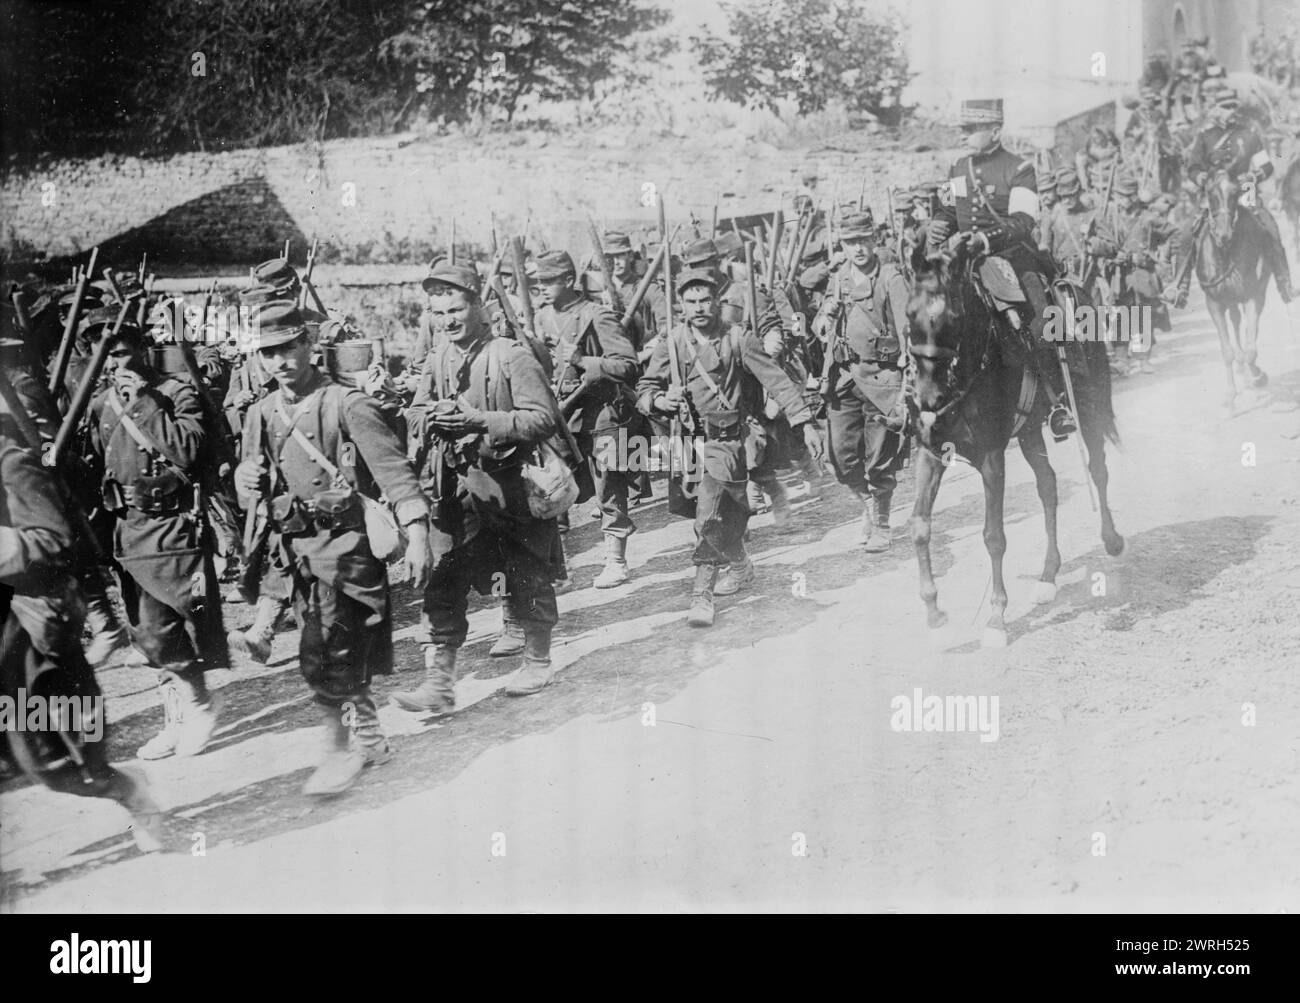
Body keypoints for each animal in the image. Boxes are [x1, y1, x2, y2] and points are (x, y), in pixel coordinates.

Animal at [899, 244, 1123, 649]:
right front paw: (933, 609)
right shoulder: (930, 453)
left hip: (1091, 406)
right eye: (910, 313)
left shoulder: (991, 458)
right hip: (1031, 430)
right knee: (1048, 485)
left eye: (953, 316)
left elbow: (994, 536)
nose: (926, 398)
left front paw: (996, 619)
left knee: (1097, 470)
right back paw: (1048, 578)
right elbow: (919, 525)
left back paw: (1111, 540)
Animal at [1196, 168, 1268, 407]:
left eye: (1236, 193)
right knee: (1236, 323)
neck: (1225, 255)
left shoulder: (1252, 296)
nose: (1224, 235)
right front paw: (1230, 395)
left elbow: (1251, 349)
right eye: (1210, 193)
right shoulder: (1214, 303)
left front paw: (1257, 376)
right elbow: (1226, 350)